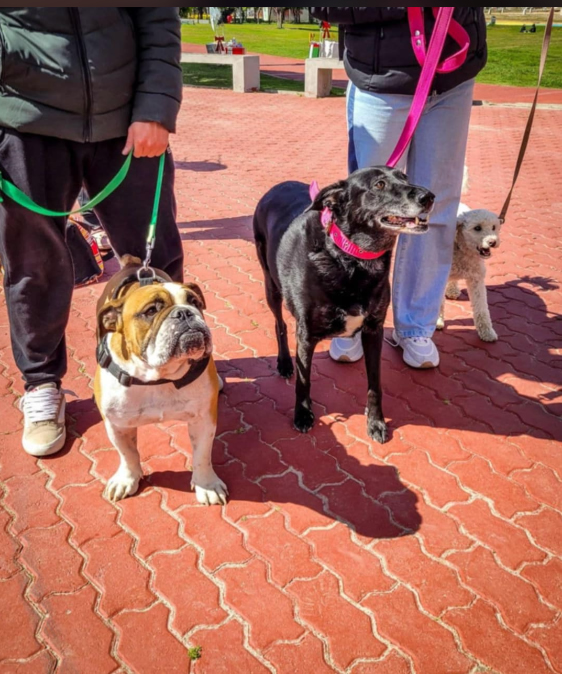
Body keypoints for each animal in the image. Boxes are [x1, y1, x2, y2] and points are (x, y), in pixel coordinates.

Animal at [253, 167, 434, 440]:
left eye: (405, 177)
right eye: (379, 185)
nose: (429, 197)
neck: (352, 259)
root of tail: (278, 186)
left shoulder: (373, 330)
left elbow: (374, 384)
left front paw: (376, 422)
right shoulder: (306, 335)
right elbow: (303, 381)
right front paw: (303, 414)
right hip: (271, 285)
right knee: (279, 325)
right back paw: (284, 362)